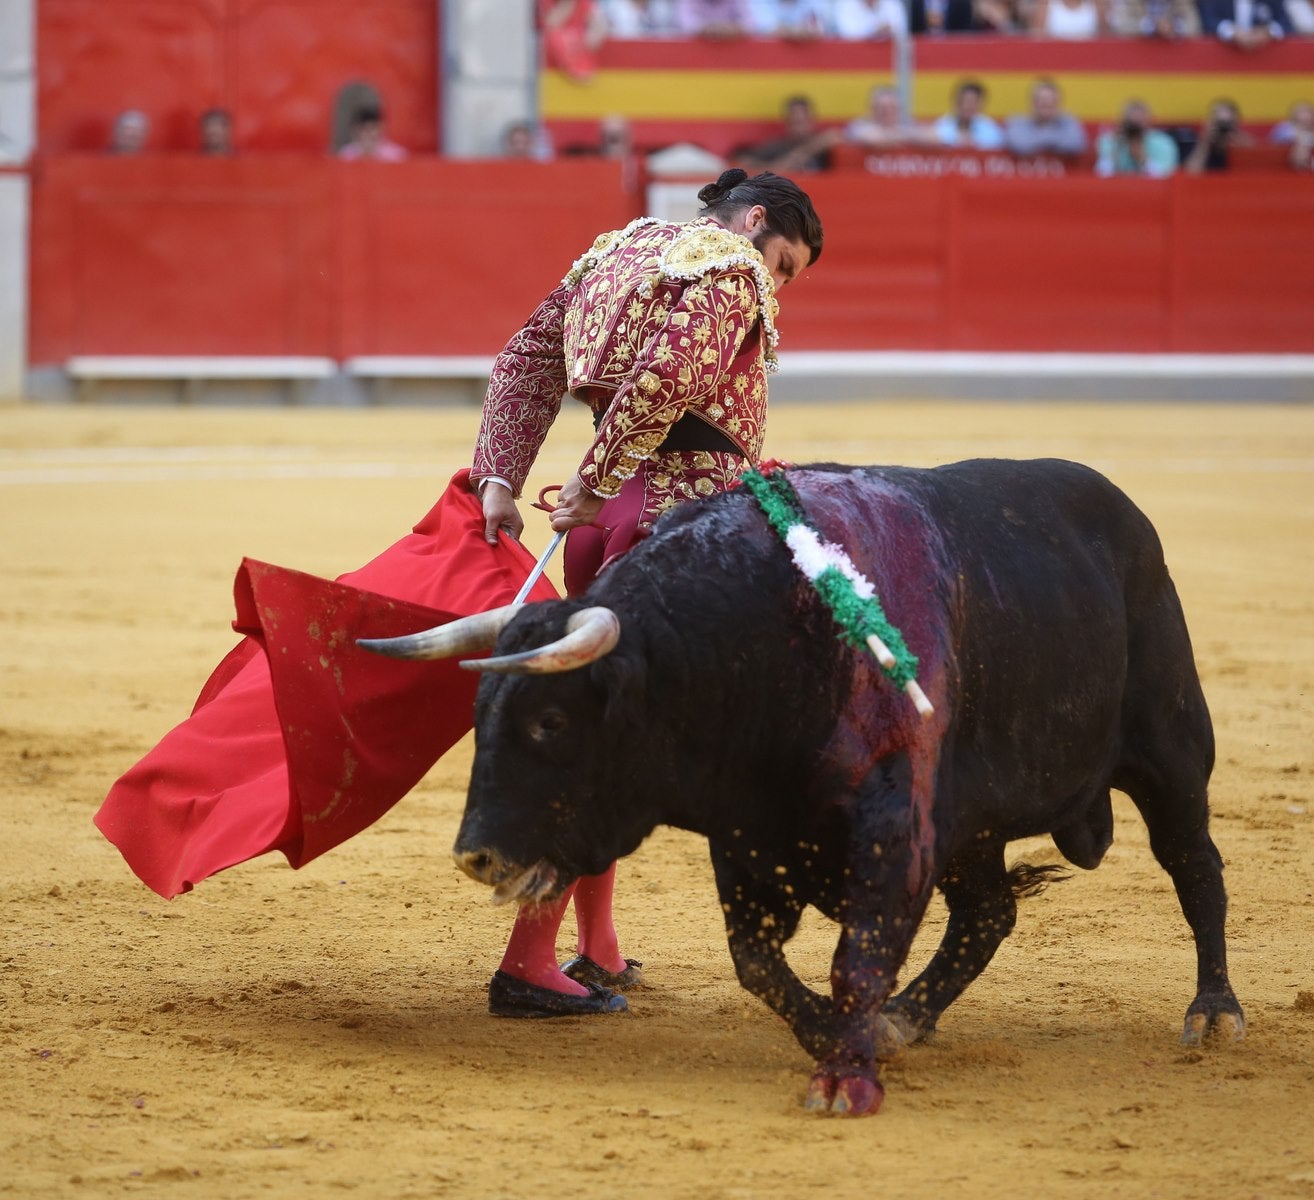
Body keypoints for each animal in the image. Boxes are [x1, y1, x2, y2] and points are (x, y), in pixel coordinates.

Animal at [360, 460, 1240, 1114]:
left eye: (549, 721)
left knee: (1195, 867)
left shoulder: (893, 824)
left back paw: (1214, 1014)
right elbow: (757, 961)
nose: (476, 856)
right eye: (479, 714)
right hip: (974, 827)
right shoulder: (748, 833)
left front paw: (845, 1076)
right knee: (988, 913)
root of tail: (1126, 516)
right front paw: (843, 1034)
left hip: (1171, 752)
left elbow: (858, 954)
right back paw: (907, 1019)